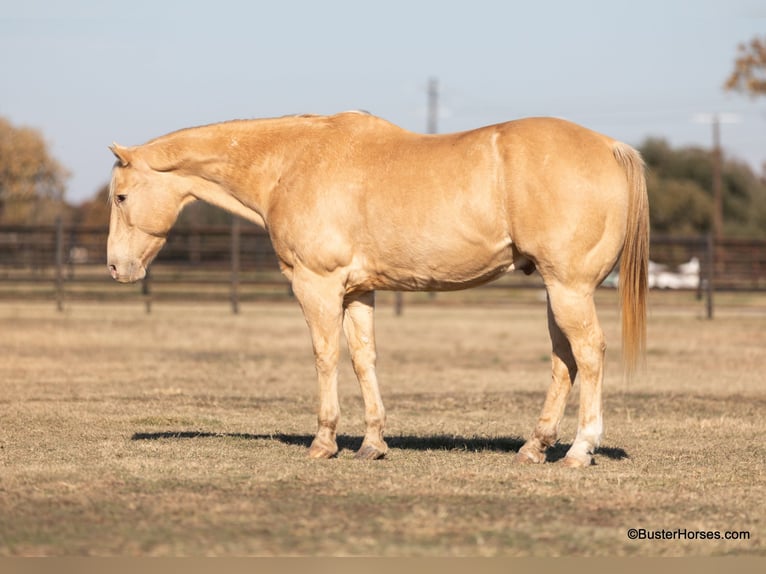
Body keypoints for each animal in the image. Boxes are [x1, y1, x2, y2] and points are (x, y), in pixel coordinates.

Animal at [108, 112, 648, 468]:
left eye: (121, 197)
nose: (116, 267)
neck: (291, 162)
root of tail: (610, 146)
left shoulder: (317, 285)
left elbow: (325, 356)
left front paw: (324, 441)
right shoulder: (356, 292)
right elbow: (363, 359)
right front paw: (372, 443)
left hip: (568, 289)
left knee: (589, 354)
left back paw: (580, 450)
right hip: (557, 291)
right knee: (564, 361)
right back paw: (535, 447)